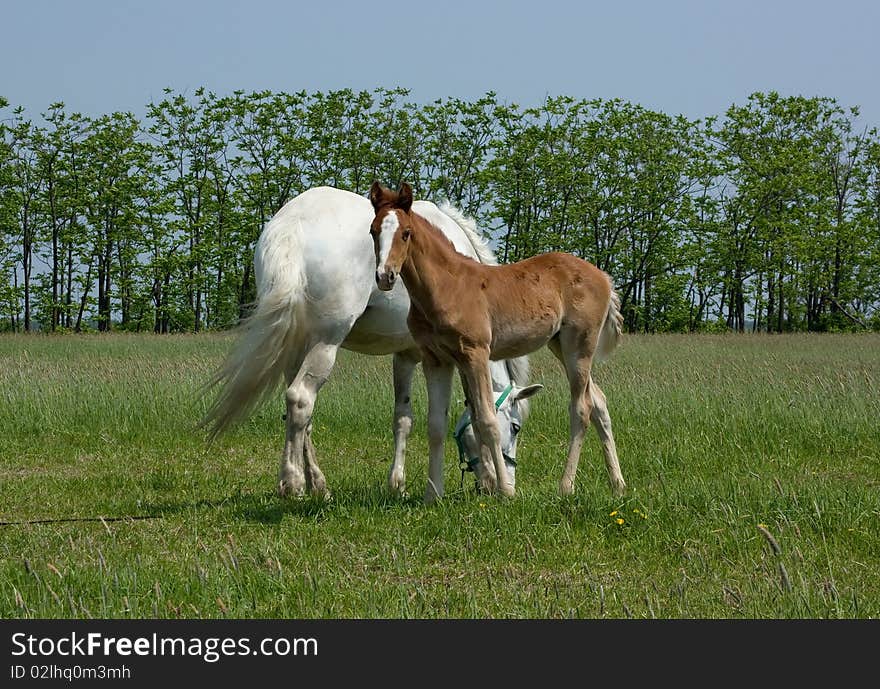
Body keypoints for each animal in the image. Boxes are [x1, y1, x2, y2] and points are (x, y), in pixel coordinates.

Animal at [202, 185, 540, 502]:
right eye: (516, 427)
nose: (510, 480)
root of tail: (293, 225)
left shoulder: (405, 355)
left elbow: (402, 418)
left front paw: (397, 485)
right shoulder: (452, 355)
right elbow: (476, 409)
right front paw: (490, 479)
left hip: (297, 347)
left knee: (299, 414)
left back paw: (318, 485)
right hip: (324, 344)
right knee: (300, 399)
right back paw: (293, 483)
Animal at [370, 180, 624, 502]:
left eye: (406, 233)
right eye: (373, 230)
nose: (385, 276)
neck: (447, 286)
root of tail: (605, 277)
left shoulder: (475, 353)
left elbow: (487, 421)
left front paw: (505, 491)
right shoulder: (435, 359)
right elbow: (436, 424)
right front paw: (433, 495)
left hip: (580, 345)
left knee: (581, 408)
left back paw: (566, 487)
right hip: (562, 346)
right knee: (600, 402)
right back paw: (618, 484)